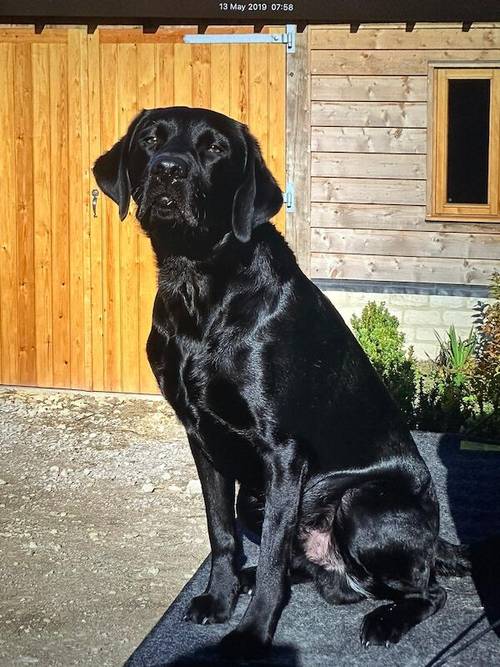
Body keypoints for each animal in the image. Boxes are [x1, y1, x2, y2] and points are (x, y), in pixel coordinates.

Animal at [93, 107, 468, 656]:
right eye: (150, 139)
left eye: (214, 148)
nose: (168, 171)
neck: (197, 285)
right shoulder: (202, 439)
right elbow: (221, 534)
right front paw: (220, 598)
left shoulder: (283, 451)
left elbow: (271, 555)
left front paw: (250, 634)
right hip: (254, 496)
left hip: (359, 502)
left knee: (429, 589)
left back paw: (386, 620)